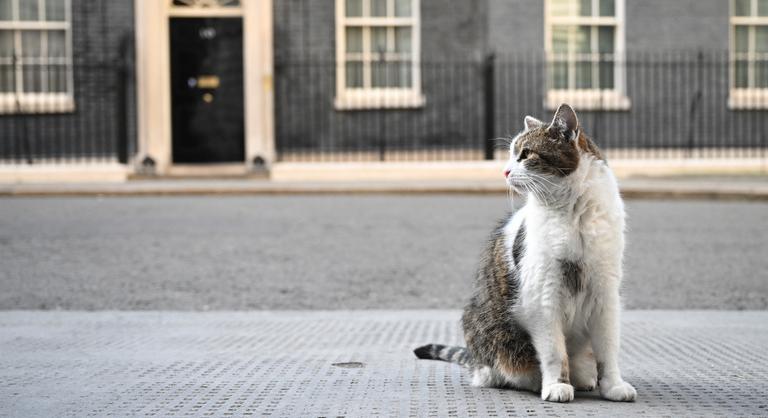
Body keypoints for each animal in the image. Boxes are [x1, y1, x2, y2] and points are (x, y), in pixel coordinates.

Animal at [414, 103, 636, 402]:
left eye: (526, 154)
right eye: (510, 155)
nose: (505, 171)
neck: (572, 214)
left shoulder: (605, 294)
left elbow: (608, 350)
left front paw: (613, 386)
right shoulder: (543, 296)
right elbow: (554, 352)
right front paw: (556, 385)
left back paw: (583, 378)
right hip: (486, 330)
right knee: (495, 370)